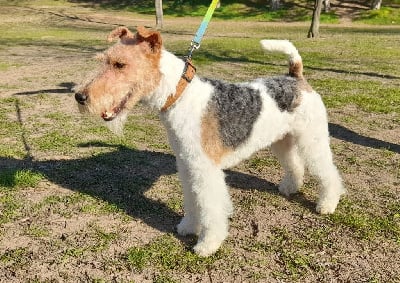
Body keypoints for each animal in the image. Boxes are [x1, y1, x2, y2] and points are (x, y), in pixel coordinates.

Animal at [74, 26, 344, 258]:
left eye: (120, 64)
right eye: (104, 60)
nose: (80, 96)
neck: (179, 95)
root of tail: (295, 76)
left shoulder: (205, 169)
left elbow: (210, 207)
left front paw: (207, 244)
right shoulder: (187, 165)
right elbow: (193, 201)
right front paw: (187, 227)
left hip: (312, 140)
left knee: (328, 173)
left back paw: (327, 204)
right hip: (282, 140)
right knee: (294, 164)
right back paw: (290, 187)